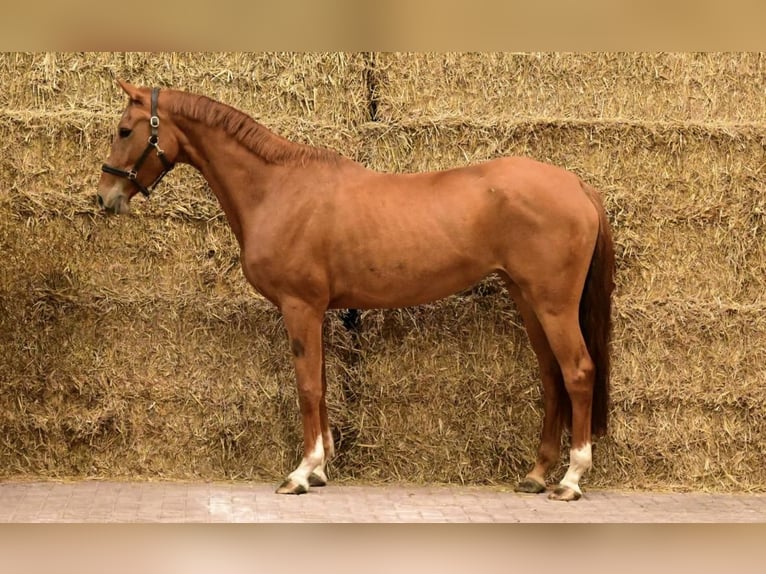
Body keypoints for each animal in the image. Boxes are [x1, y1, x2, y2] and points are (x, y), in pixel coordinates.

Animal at [97, 80, 615, 501]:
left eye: (124, 130)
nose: (105, 197)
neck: (278, 187)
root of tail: (578, 186)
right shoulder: (316, 310)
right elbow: (322, 383)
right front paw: (321, 469)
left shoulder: (300, 306)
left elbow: (307, 385)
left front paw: (301, 473)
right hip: (529, 300)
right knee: (551, 377)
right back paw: (536, 474)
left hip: (553, 305)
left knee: (578, 373)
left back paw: (571, 480)